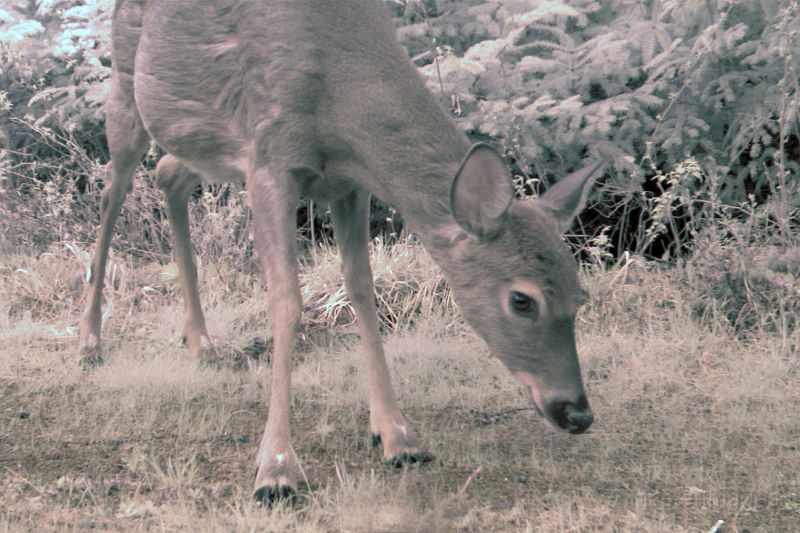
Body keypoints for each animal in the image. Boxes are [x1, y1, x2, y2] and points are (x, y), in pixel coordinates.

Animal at [81, 0, 604, 502]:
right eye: (522, 300)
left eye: (580, 296)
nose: (577, 413)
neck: (337, 95)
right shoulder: (270, 161)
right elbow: (286, 301)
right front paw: (276, 469)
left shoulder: (349, 182)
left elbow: (362, 293)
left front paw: (397, 436)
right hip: (126, 88)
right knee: (112, 190)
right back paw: (90, 340)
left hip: (202, 141)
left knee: (168, 174)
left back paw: (200, 340)